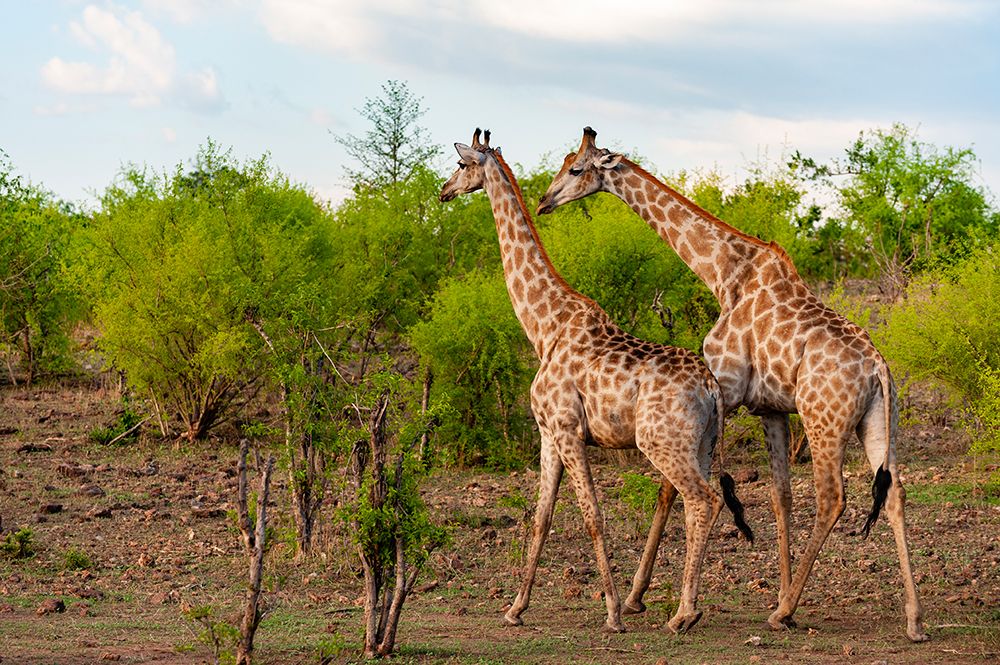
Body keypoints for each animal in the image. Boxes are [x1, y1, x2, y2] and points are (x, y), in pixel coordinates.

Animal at [440, 129, 752, 634]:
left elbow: (593, 516)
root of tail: (710, 389)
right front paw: (515, 608)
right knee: (699, 502)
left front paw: (611, 613)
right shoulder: (547, 433)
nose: (444, 191)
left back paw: (682, 614)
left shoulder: (568, 430)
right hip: (703, 444)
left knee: (702, 501)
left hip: (659, 441)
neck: (543, 326)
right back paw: (685, 607)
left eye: (461, 164)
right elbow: (541, 518)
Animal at [535, 127, 928, 643]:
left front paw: (642, 598)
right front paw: (781, 594)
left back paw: (784, 611)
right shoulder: (771, 408)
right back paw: (913, 619)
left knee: (832, 497)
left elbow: (670, 489)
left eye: (576, 169)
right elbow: (781, 497)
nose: (544, 201)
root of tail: (878, 368)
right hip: (879, 420)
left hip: (824, 421)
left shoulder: (723, 385)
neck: (723, 273)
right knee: (896, 492)